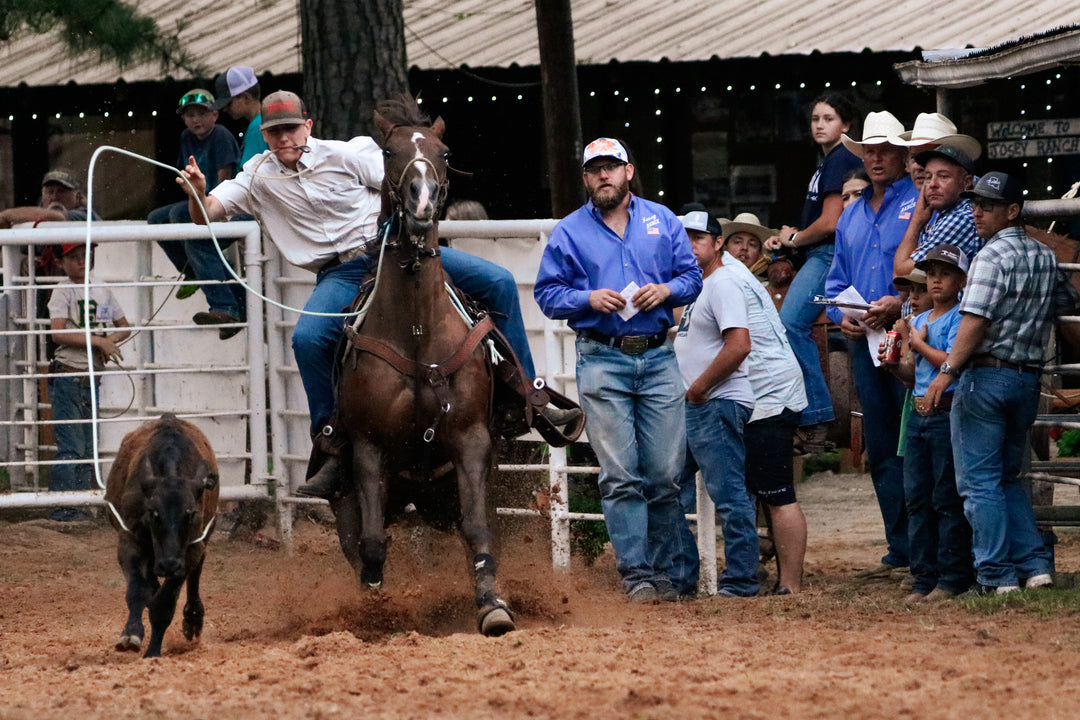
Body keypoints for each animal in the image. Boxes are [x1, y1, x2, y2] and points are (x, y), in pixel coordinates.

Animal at [330, 95, 511, 634]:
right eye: (388, 152)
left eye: (444, 153)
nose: (423, 199)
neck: (416, 336)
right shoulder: (368, 448)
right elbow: (371, 542)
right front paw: (374, 611)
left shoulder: (471, 440)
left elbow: (477, 529)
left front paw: (492, 604)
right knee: (356, 540)